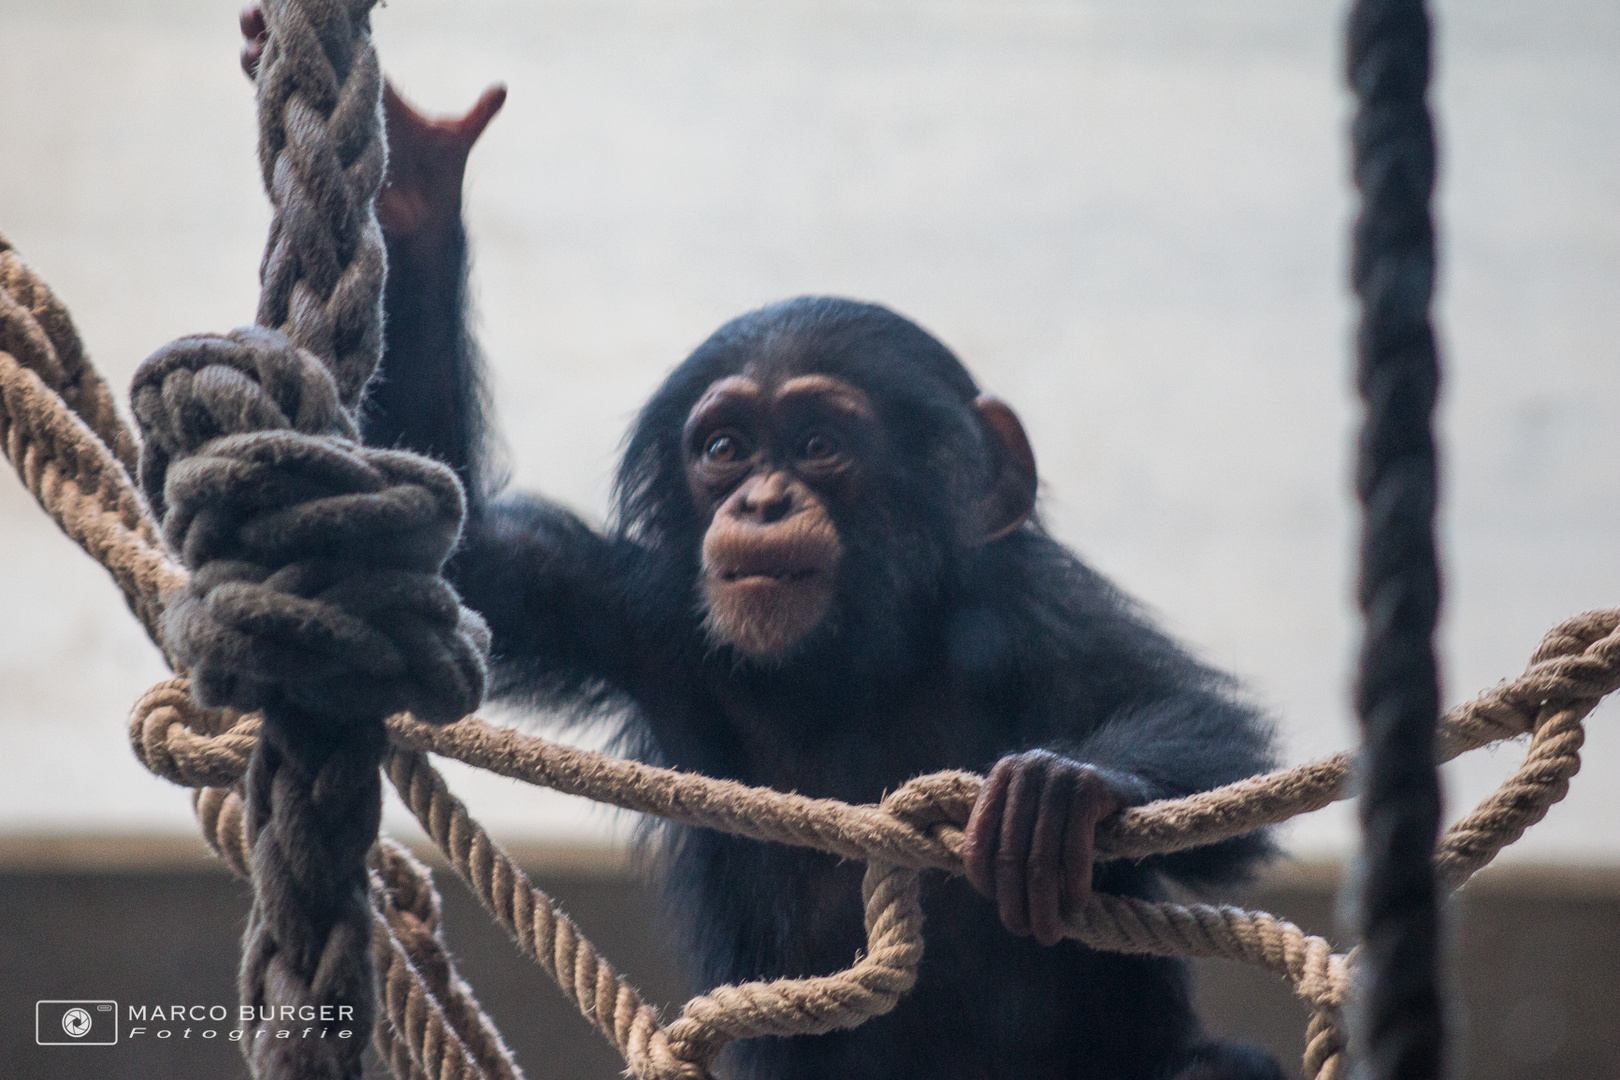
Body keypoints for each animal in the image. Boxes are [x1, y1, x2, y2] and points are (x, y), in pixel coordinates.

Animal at [236, 16, 1276, 1080]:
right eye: (725, 448)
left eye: (818, 445)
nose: (764, 501)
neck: (845, 662)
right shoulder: (625, 608)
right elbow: (453, 560)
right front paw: (416, 179)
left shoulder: (1034, 608)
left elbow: (1203, 732)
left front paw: (1067, 791)